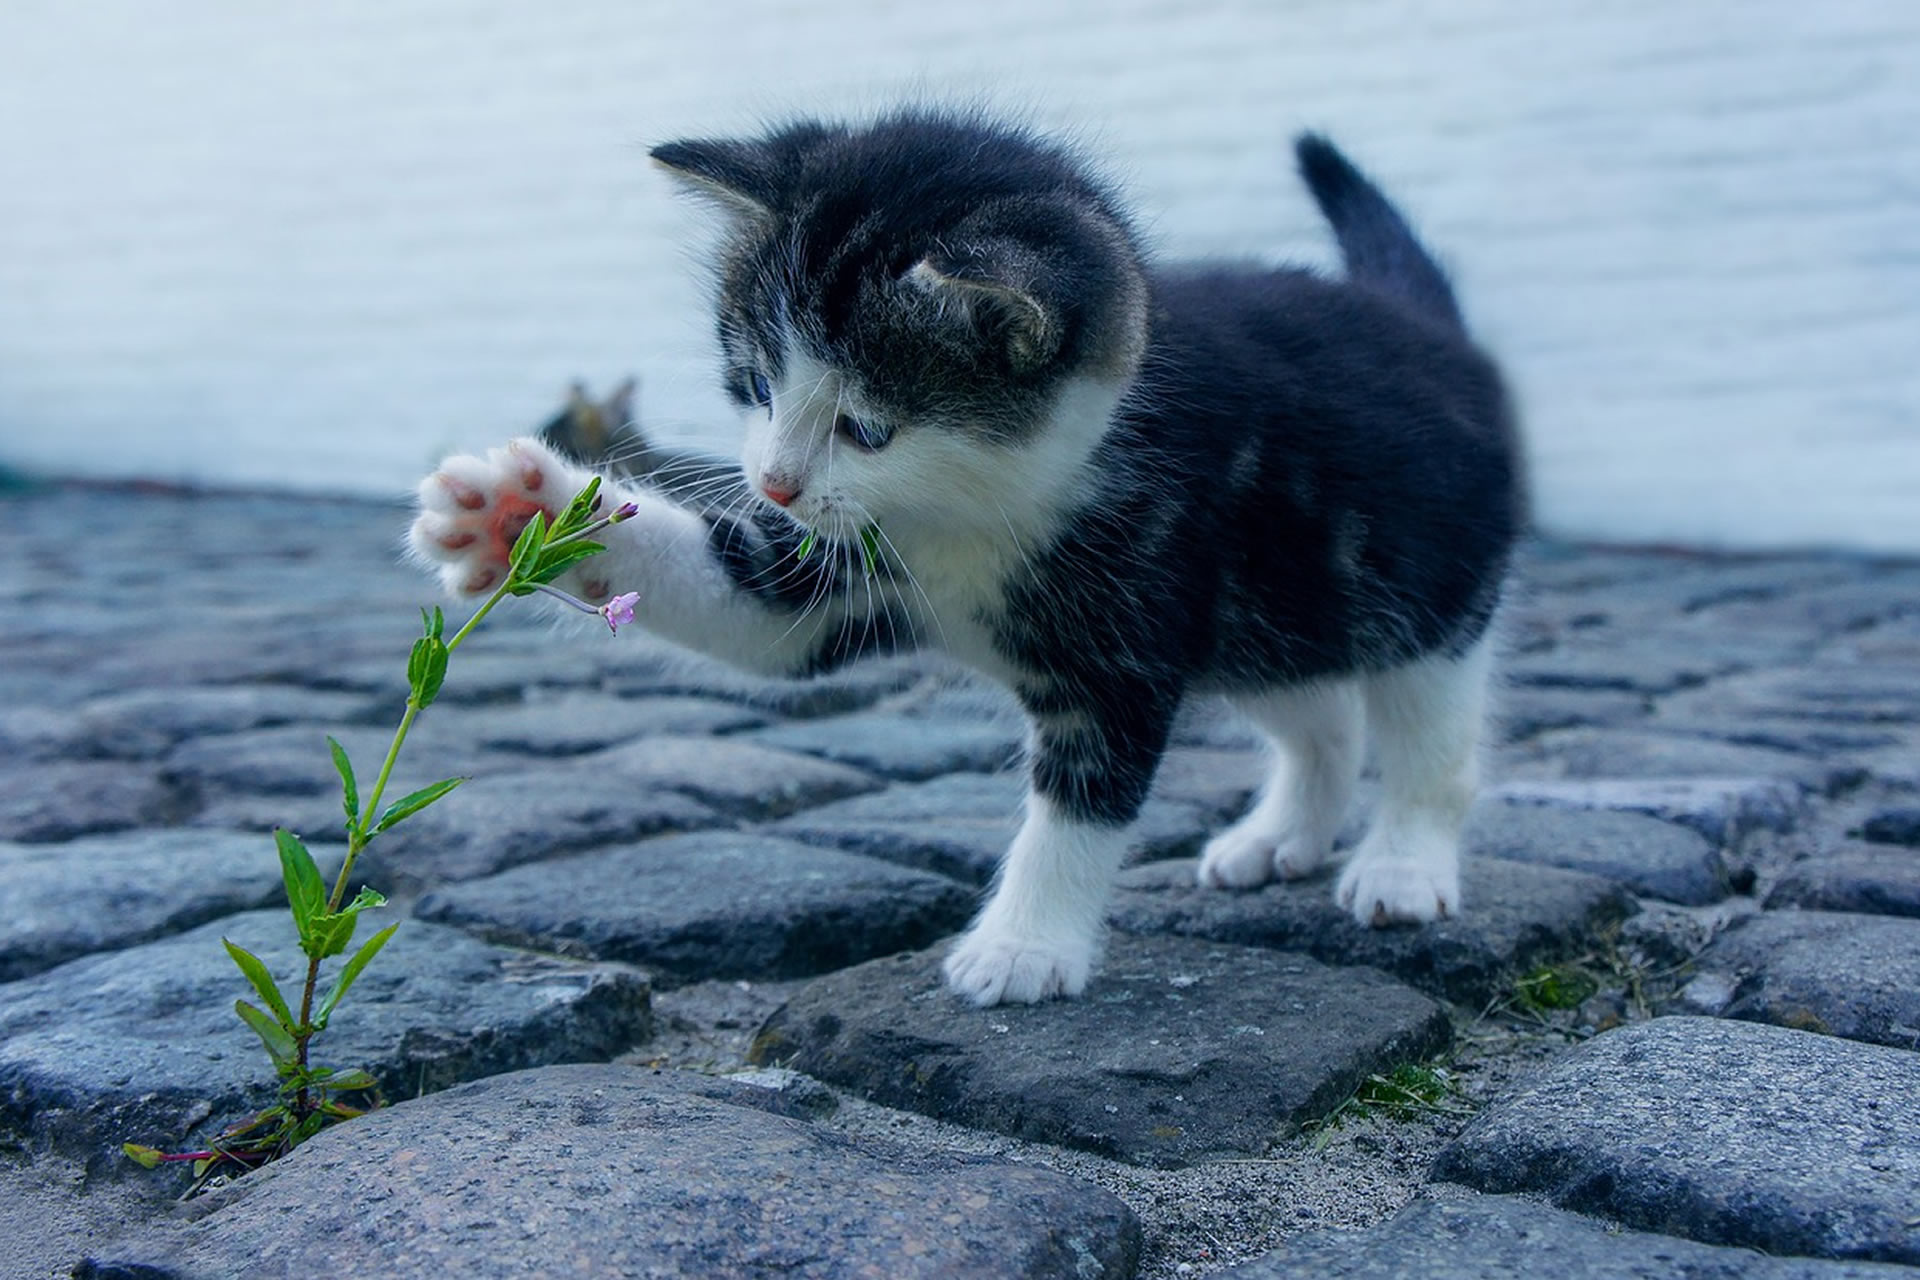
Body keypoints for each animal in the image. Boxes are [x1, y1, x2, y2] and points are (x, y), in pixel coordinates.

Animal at [412, 110, 1520, 1005]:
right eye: (758, 384)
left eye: (867, 427)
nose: (773, 483)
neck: (971, 510)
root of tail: (1427, 325)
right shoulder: (841, 568)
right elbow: (753, 610)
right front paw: (521, 513)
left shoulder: (1130, 624)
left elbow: (1081, 802)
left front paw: (1025, 947)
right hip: (1270, 609)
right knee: (1319, 712)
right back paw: (1282, 834)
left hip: (1424, 587)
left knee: (1428, 734)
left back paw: (1403, 864)